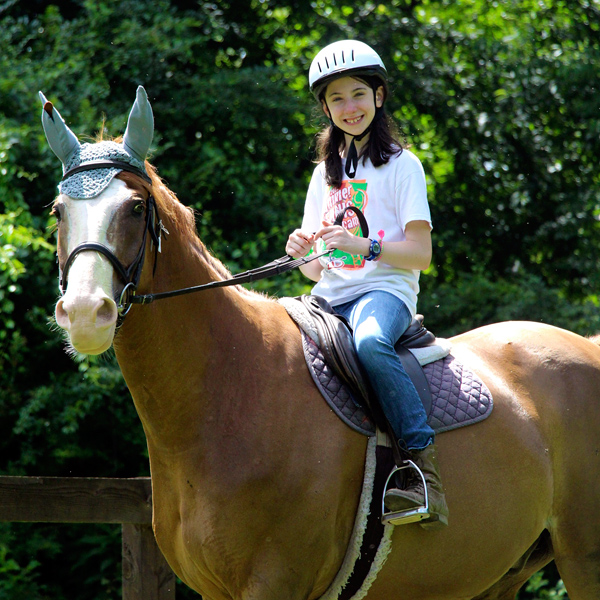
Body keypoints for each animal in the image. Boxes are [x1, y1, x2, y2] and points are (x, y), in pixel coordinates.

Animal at [41, 86, 600, 596]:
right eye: (58, 212)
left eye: (136, 208)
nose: (86, 313)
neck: (230, 386)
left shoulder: (275, 583)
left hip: (583, 560)